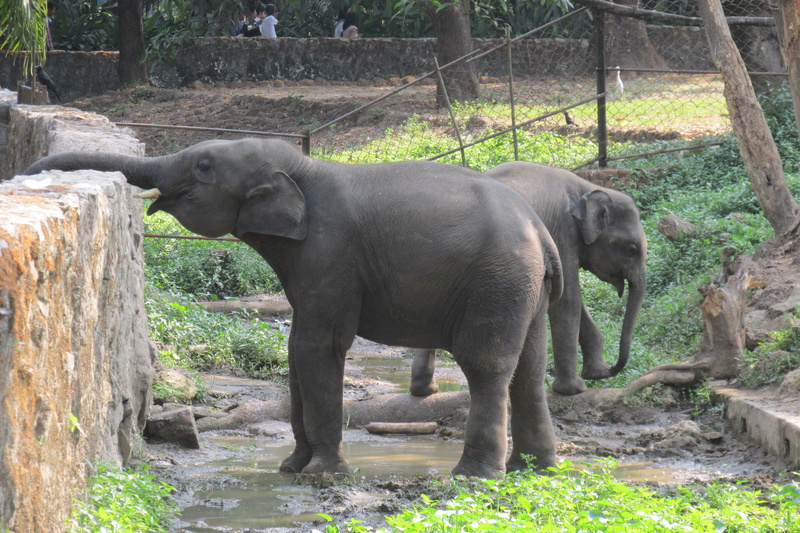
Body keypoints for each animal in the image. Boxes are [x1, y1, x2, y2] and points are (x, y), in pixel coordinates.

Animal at [24, 138, 563, 479]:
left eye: (204, 166)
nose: (26, 171)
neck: (306, 168)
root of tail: (541, 231)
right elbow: (295, 350)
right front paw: (290, 468)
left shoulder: (331, 252)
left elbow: (317, 347)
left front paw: (321, 475)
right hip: (524, 289)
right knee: (529, 369)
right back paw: (535, 470)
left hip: (496, 280)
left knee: (486, 365)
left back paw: (473, 477)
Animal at [410, 162, 647, 397]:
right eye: (632, 249)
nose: (613, 369)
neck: (585, 187)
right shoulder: (563, 233)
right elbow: (567, 300)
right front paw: (574, 389)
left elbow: (574, 301)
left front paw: (596, 374)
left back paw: (424, 391)